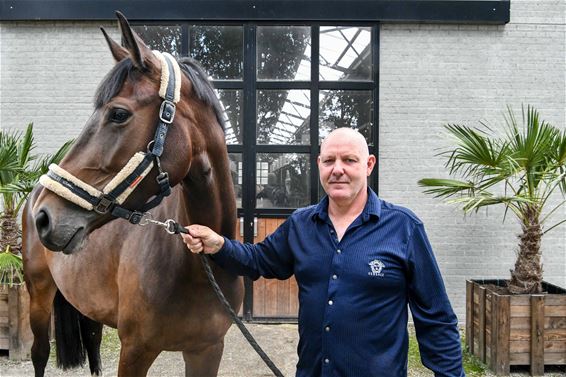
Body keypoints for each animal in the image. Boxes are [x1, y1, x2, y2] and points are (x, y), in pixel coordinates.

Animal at [22, 12, 243, 376]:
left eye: (118, 114)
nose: (45, 217)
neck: (198, 268)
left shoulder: (207, 350)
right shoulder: (136, 351)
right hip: (38, 294)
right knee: (39, 353)